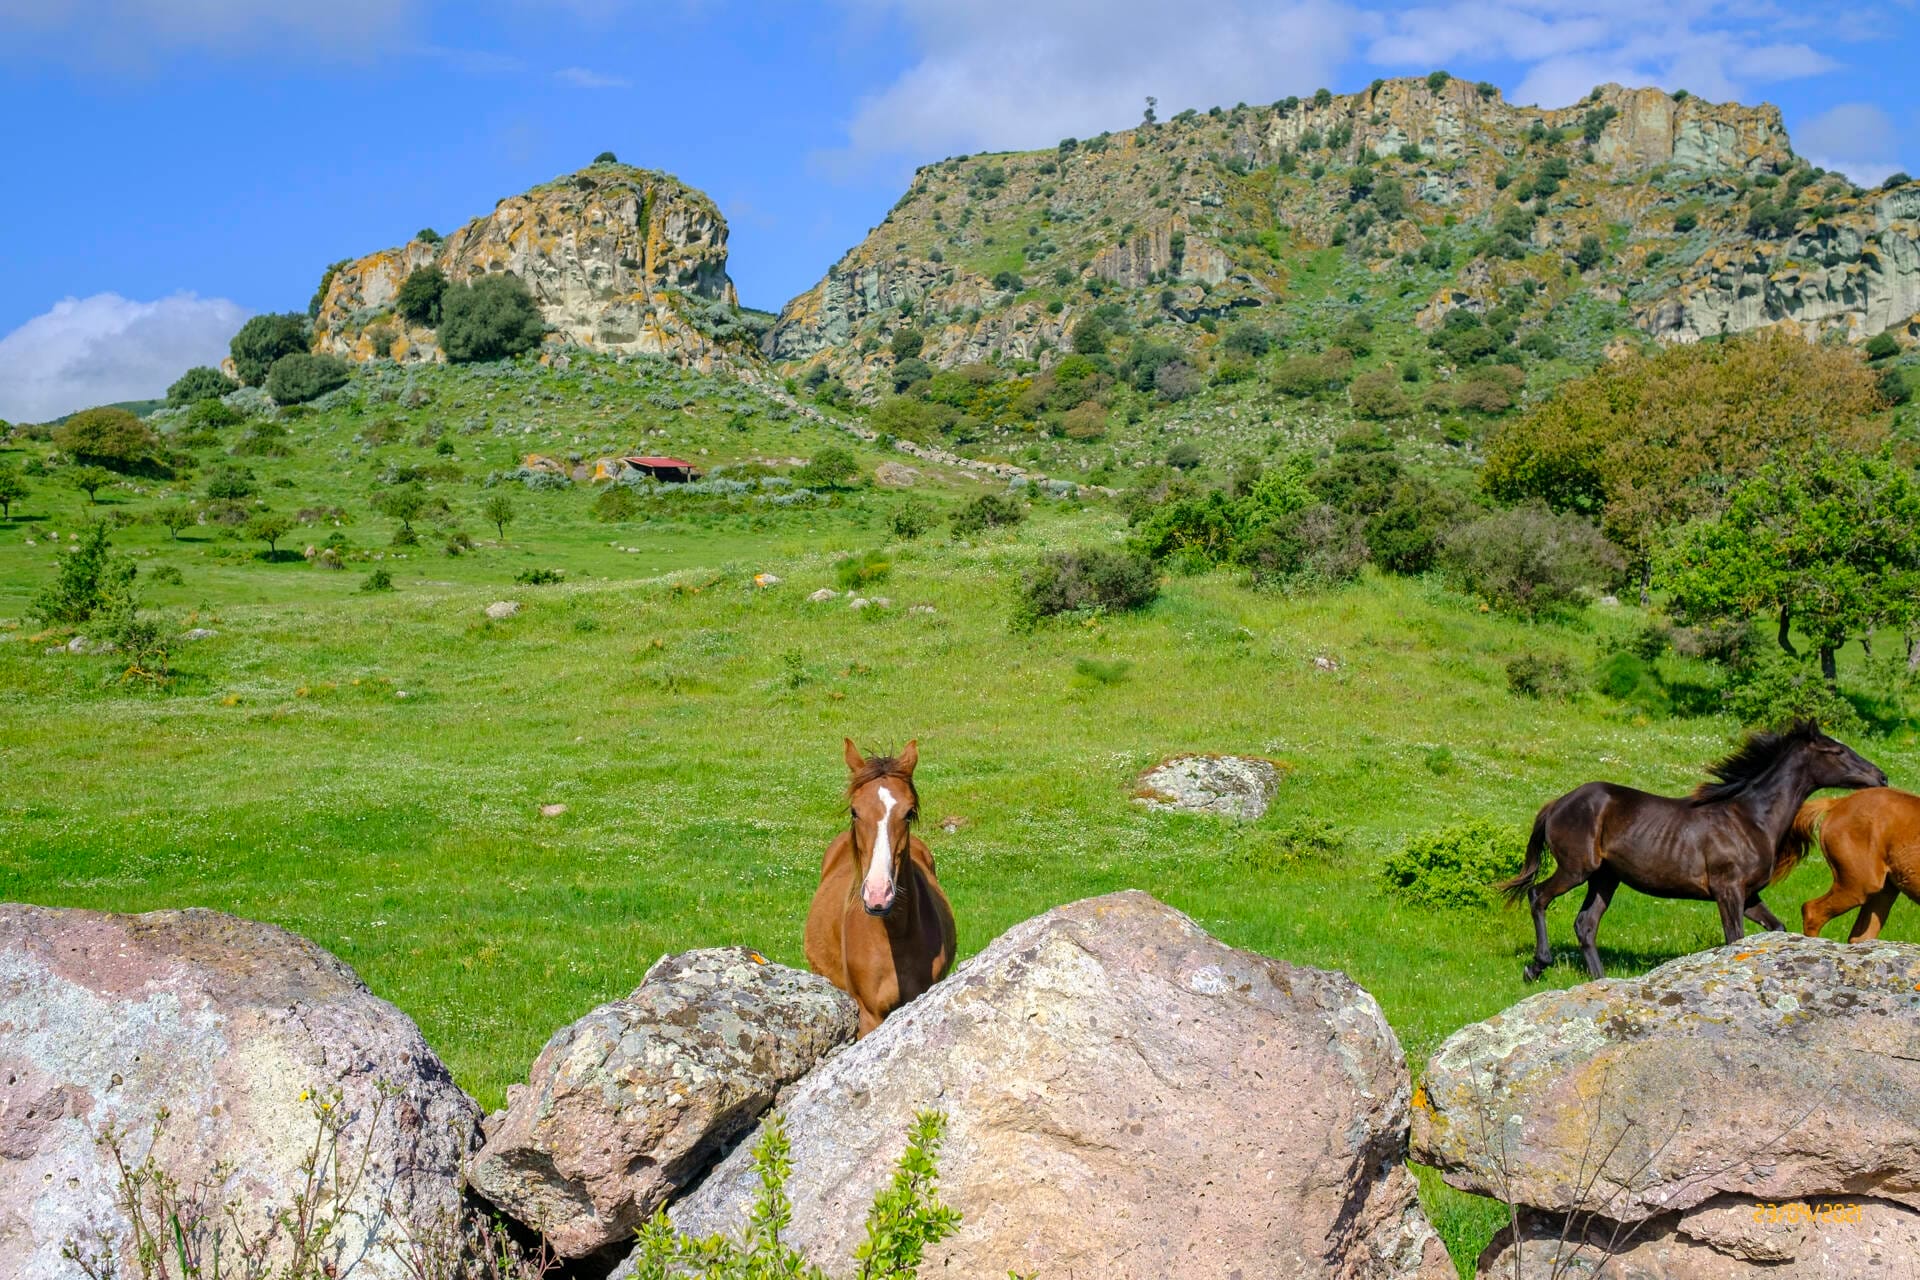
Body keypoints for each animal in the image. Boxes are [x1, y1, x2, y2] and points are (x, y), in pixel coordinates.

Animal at [1501, 721, 1886, 981]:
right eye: (1836, 751)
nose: (1881, 777)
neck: (1751, 818)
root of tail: (1556, 804)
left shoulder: (1749, 895)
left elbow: (1774, 928)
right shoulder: (1727, 891)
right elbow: (1735, 939)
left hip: (1605, 878)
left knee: (1585, 925)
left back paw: (1601, 981)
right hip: (1577, 869)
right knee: (1538, 896)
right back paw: (1537, 966)